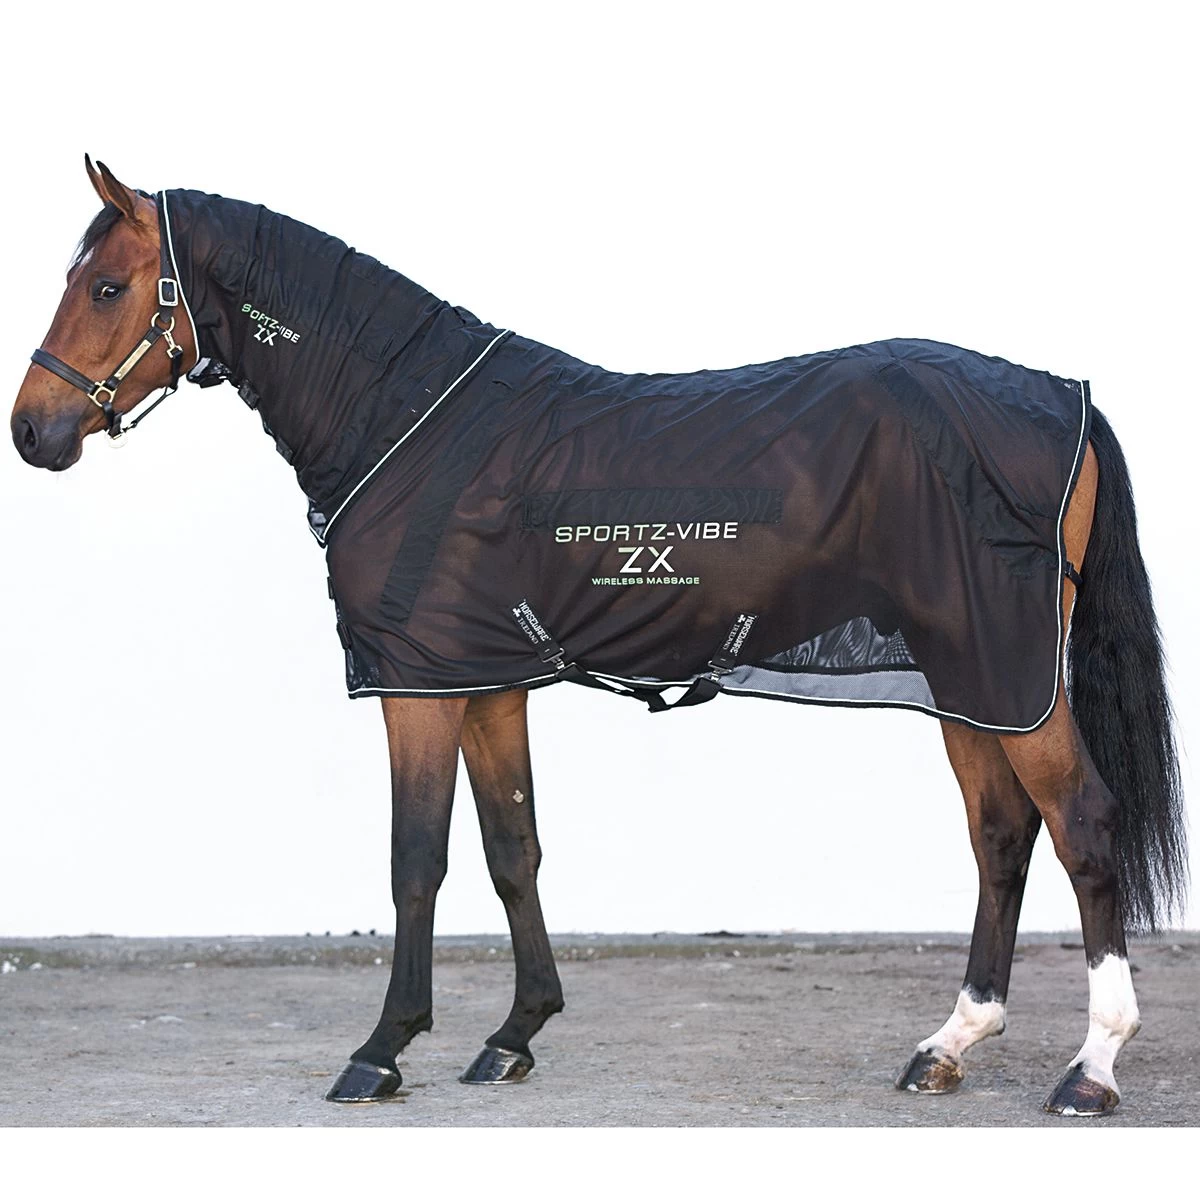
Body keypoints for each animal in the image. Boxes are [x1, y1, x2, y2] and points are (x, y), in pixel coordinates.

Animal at [11, 157, 1186, 1117]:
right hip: (975, 679)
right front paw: (512, 1036)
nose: (32, 431)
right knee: (1001, 834)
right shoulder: (486, 680)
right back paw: (949, 1044)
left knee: (1082, 825)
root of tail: (1063, 398)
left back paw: (1091, 1069)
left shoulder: (417, 687)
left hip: (1006, 673)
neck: (406, 420)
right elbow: (512, 850)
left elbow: (416, 860)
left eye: (106, 286)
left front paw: (381, 1051)